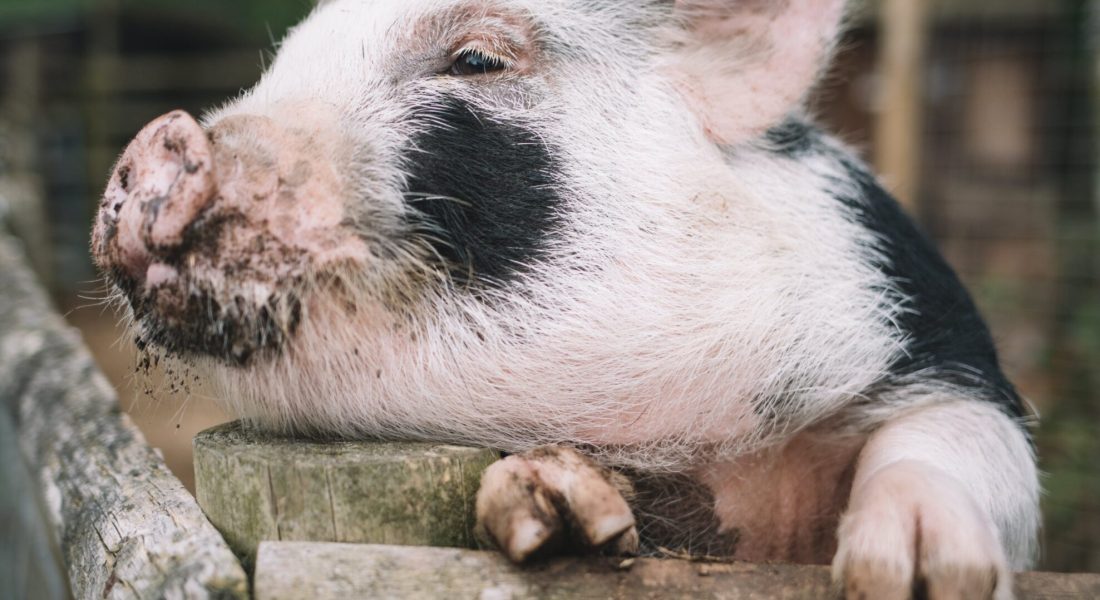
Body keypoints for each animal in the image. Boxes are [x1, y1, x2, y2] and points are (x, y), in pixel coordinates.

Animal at [91, 1, 1040, 598]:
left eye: (479, 58)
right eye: (281, 68)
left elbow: (960, 438)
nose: (160, 139)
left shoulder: (934, 337)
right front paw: (560, 510)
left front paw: (913, 577)